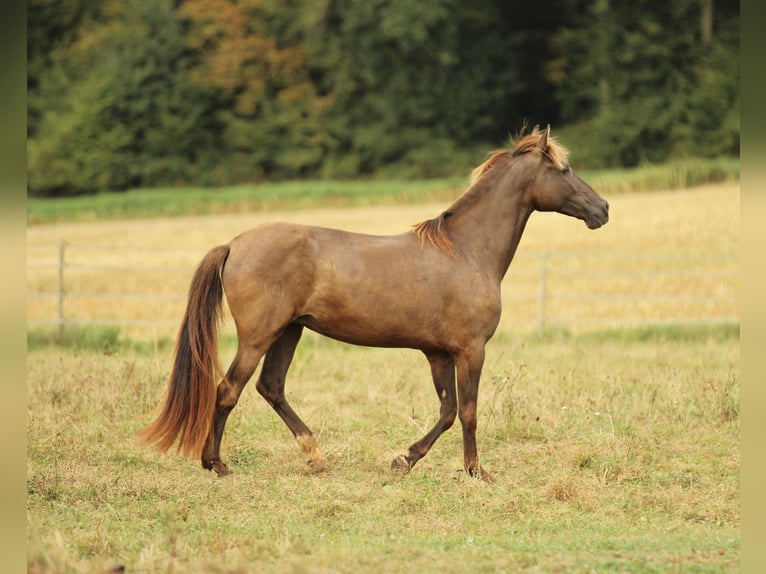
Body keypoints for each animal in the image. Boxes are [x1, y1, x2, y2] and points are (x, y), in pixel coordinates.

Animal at [141, 125, 608, 482]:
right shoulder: (470, 350)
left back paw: (316, 456)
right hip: (260, 335)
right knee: (228, 390)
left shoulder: (437, 353)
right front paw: (477, 472)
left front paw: (405, 459)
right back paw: (216, 464)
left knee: (270, 387)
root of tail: (234, 245)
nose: (602, 209)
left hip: (290, 330)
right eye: (564, 170)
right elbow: (469, 412)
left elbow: (447, 411)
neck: (466, 251)